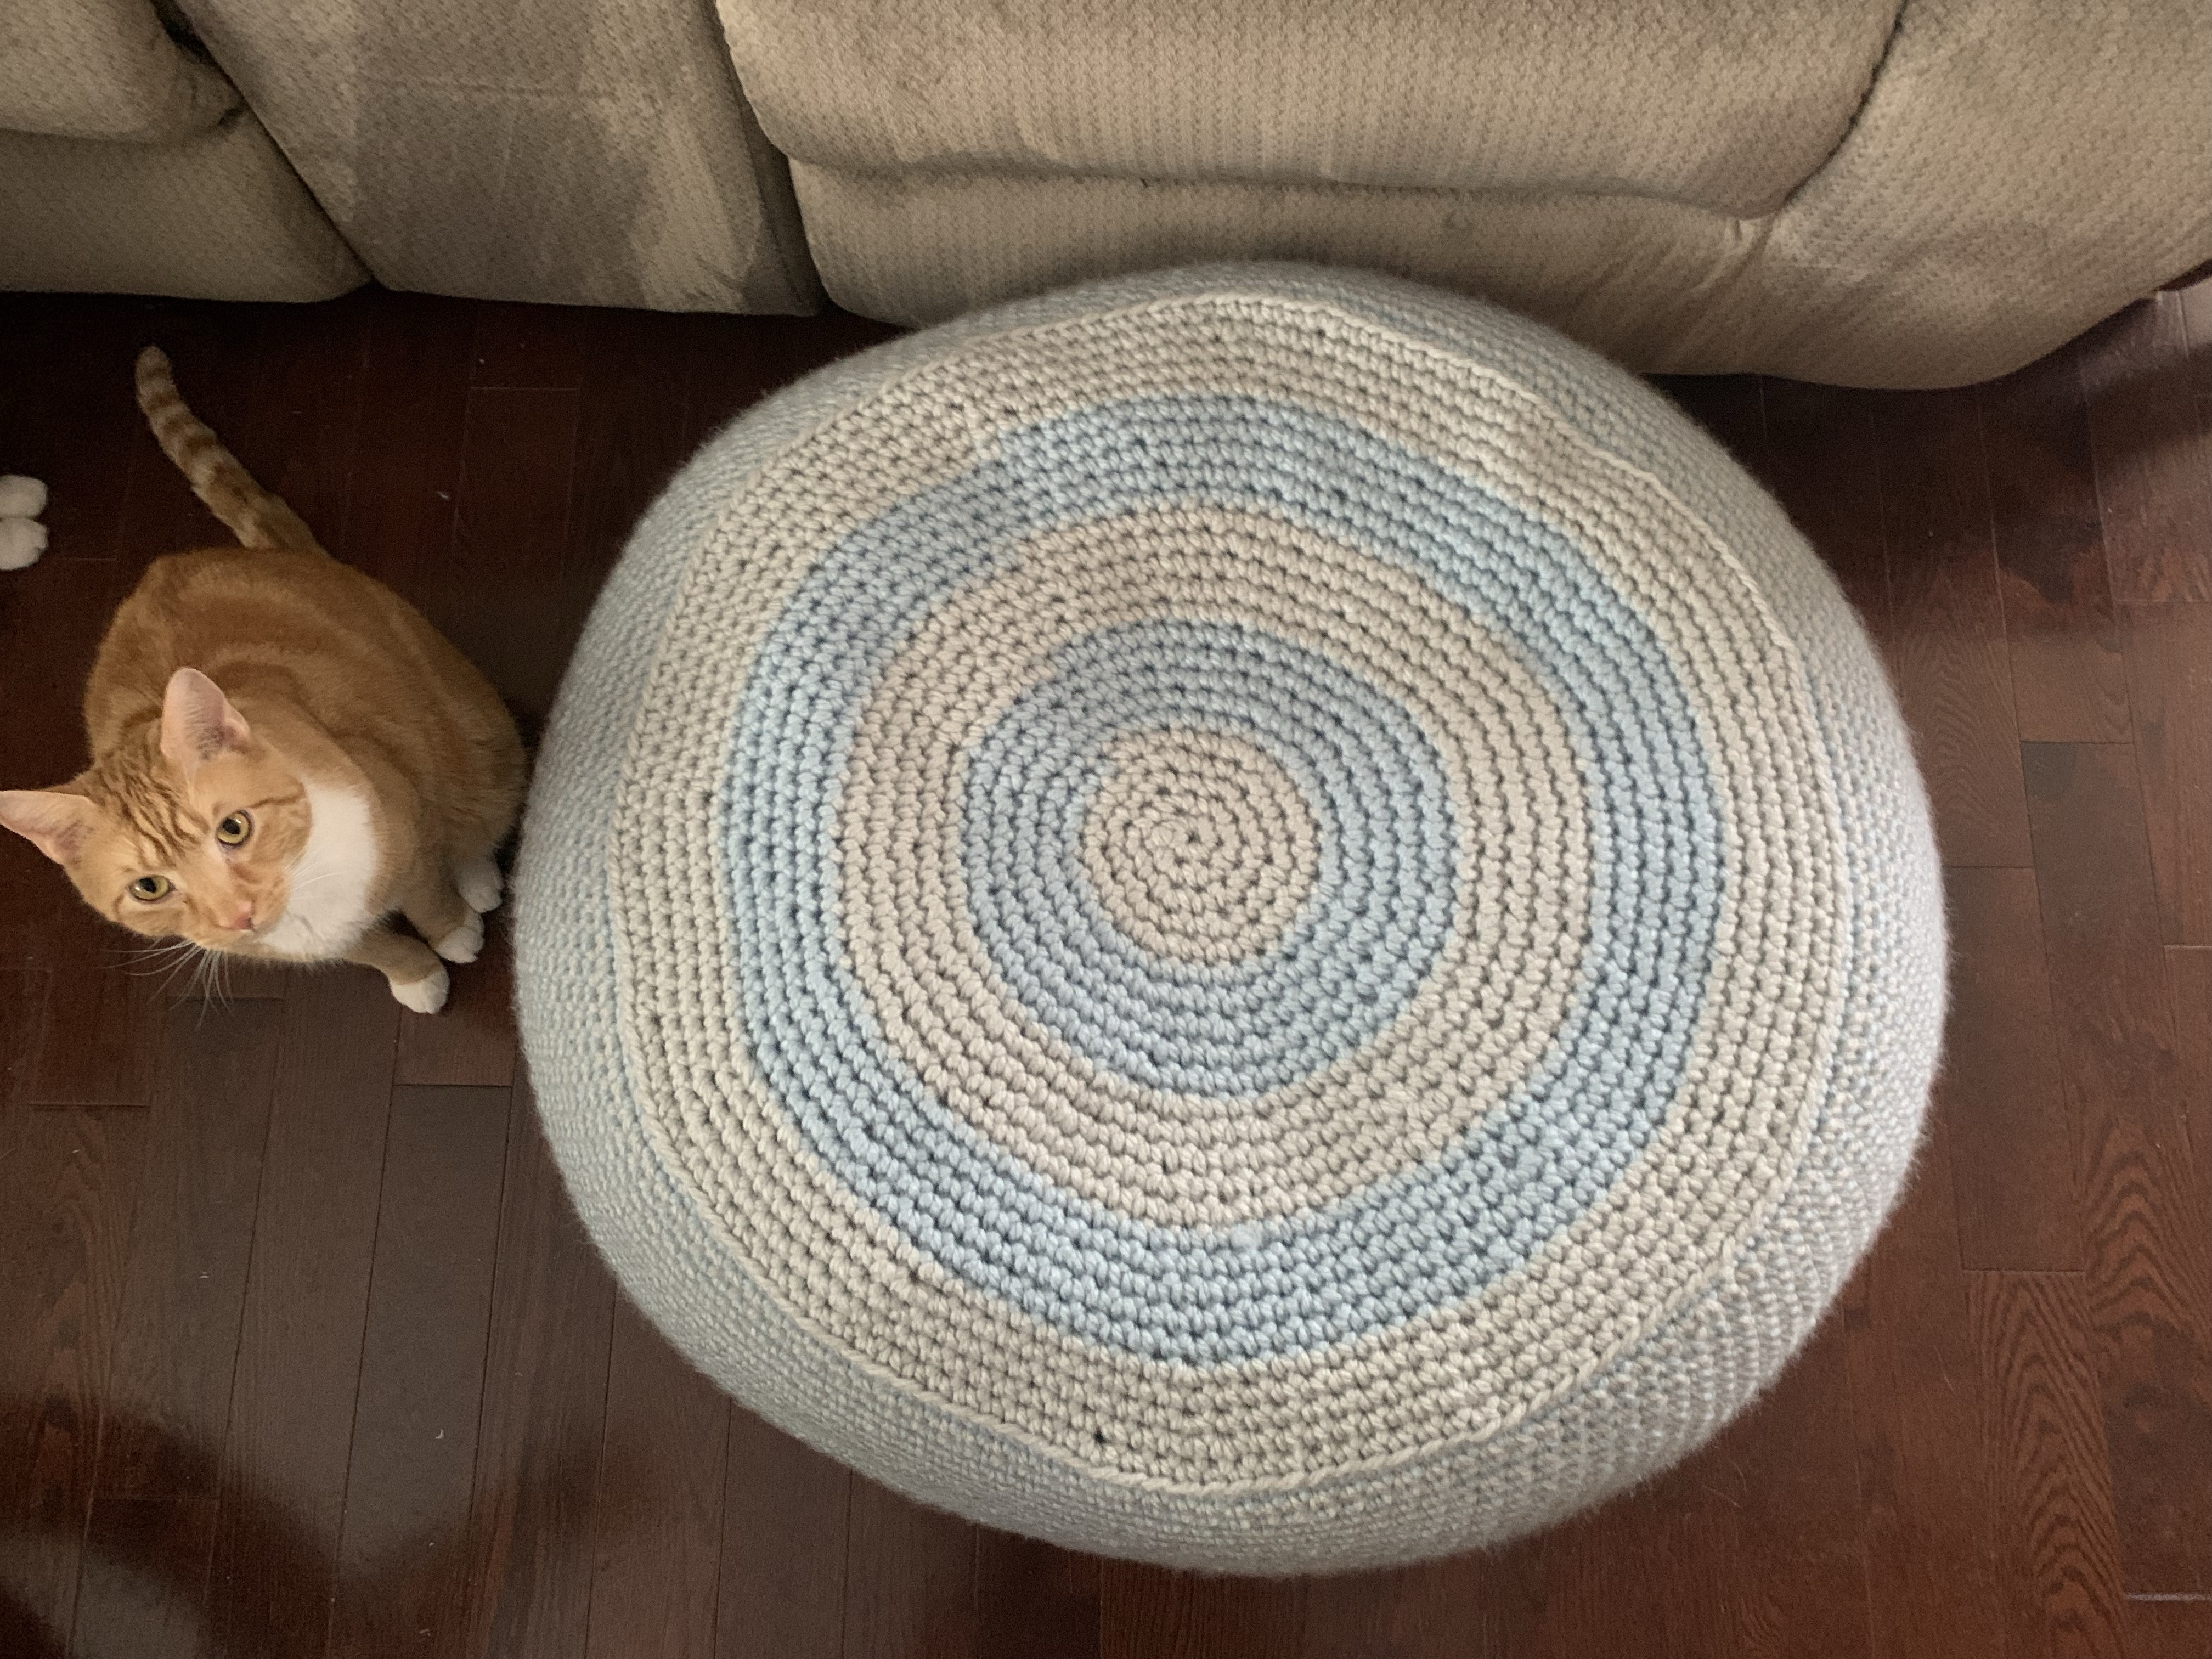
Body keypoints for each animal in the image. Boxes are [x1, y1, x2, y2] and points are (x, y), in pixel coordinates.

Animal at [0, 348, 525, 1012]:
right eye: (150, 887)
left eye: (234, 828)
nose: (239, 914)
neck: (304, 887)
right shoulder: (300, 939)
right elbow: (372, 948)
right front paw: (413, 974)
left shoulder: (406, 818)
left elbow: (428, 888)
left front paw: (452, 930)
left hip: (471, 729)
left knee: (478, 805)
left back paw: (478, 874)